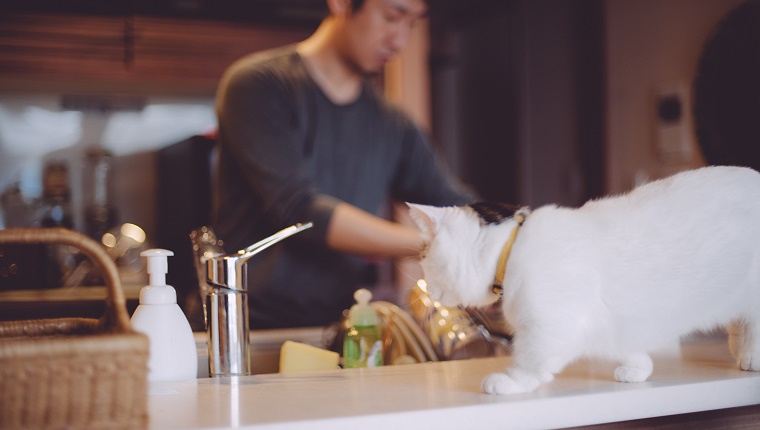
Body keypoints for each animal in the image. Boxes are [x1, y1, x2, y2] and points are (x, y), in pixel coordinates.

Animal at [410, 166, 760, 394]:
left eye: (425, 261)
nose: (426, 291)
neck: (511, 248)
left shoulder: (551, 326)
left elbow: (531, 357)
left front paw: (511, 381)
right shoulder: (614, 323)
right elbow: (627, 345)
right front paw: (637, 368)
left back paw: (752, 357)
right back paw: (739, 349)